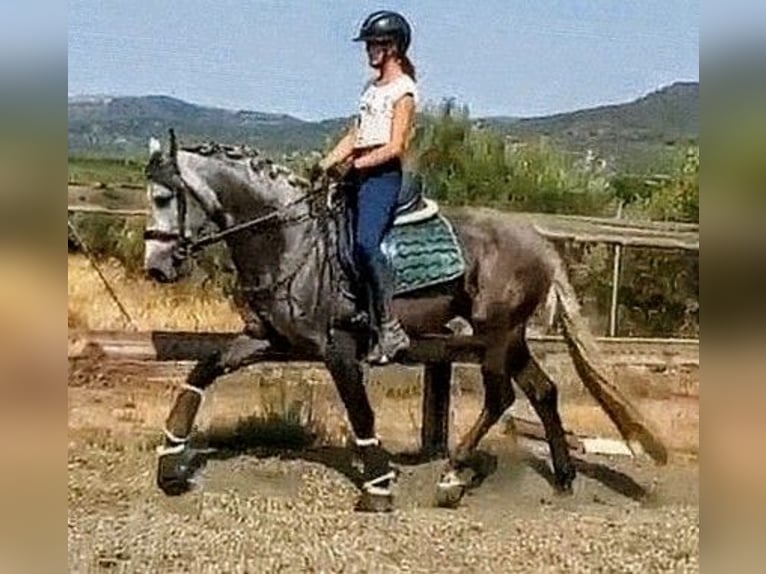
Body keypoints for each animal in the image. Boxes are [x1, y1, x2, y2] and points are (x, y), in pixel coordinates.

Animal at [143, 130, 666, 511]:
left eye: (166, 197)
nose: (157, 267)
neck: (290, 240)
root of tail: (538, 242)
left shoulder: (338, 348)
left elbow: (360, 410)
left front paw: (378, 486)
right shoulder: (267, 338)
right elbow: (203, 369)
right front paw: (170, 464)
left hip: (494, 333)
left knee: (501, 397)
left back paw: (452, 476)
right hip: (511, 335)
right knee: (543, 391)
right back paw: (562, 478)